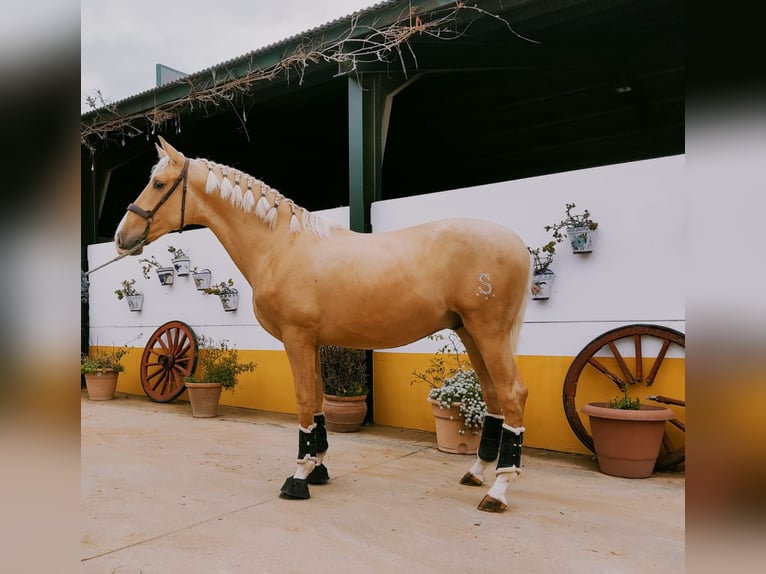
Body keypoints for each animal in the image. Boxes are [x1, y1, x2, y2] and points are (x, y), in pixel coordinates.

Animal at [115, 138, 536, 512]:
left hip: (489, 333)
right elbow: (317, 402)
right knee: (493, 395)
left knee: (512, 394)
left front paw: (299, 478)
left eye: (158, 183)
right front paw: (318, 470)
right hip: (470, 333)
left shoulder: (297, 338)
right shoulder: (313, 342)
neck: (280, 246)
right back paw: (477, 472)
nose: (122, 237)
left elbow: (304, 401)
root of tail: (516, 242)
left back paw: (498, 490)